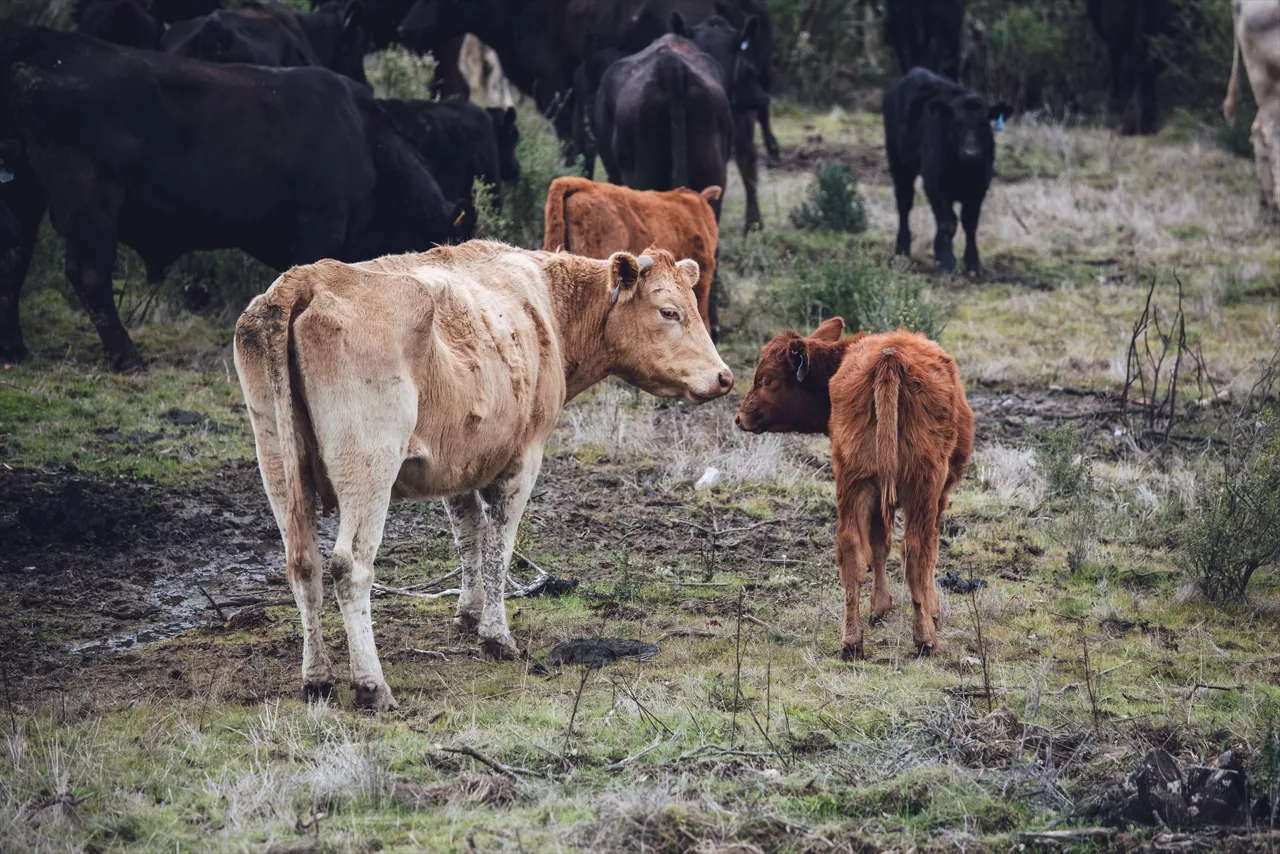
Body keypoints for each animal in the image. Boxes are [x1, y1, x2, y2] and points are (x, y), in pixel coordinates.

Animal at [0, 27, 473, 369]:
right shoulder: (318, 227)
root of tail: (41, 46)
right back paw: (127, 356)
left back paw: (15, 350)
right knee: (89, 275)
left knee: (15, 260)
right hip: (89, 201)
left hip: (25, 193)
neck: (367, 142)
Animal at [234, 243, 733, 710]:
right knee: (350, 566)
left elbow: (470, 536)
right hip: (368, 463)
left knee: (303, 564)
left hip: (277, 460)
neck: (548, 305)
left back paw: (317, 678)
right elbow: (499, 546)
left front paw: (468, 613)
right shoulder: (524, 456)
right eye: (669, 311)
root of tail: (306, 279)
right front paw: (496, 636)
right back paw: (371, 685)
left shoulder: (457, 462)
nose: (724, 377)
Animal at [735, 318, 973, 658]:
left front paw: (879, 608)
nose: (740, 417)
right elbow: (919, 552)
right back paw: (924, 638)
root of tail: (889, 358)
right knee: (916, 551)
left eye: (767, 380)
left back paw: (851, 641)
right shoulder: (938, 494)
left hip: (853, 480)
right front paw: (932, 610)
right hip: (921, 483)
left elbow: (877, 546)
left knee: (851, 550)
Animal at [884, 67, 1009, 275]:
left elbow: (970, 223)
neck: (963, 170)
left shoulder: (979, 188)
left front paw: (972, 263)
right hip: (899, 163)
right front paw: (949, 263)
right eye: (956, 124)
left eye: (984, 124)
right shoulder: (935, 184)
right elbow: (949, 223)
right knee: (904, 204)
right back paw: (902, 250)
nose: (970, 153)